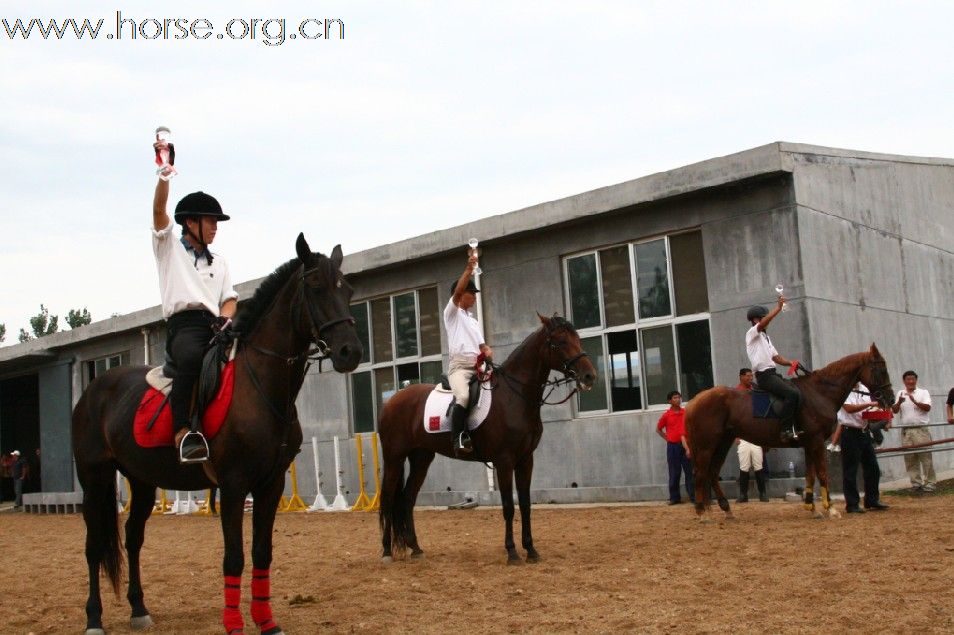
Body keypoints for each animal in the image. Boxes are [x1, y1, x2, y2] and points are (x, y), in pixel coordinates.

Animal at [71, 237, 360, 635]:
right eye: (316, 288)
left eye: (347, 290)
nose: (350, 352)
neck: (259, 384)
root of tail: (92, 391)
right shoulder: (235, 485)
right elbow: (234, 557)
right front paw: (234, 624)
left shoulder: (270, 485)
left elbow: (262, 553)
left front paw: (267, 622)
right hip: (94, 479)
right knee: (94, 545)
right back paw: (94, 618)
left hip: (142, 481)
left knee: (133, 538)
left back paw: (138, 609)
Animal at [374, 316, 592, 564]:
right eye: (561, 342)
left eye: (576, 338)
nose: (589, 376)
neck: (515, 396)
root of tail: (391, 401)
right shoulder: (504, 461)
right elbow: (508, 506)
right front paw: (512, 552)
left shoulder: (526, 460)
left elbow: (525, 505)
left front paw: (531, 550)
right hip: (395, 458)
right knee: (388, 499)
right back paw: (386, 552)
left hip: (421, 459)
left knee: (407, 499)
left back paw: (416, 548)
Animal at [684, 346, 892, 520]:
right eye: (881, 370)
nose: (889, 398)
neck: (819, 393)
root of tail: (695, 401)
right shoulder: (817, 441)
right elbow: (822, 473)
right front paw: (830, 509)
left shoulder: (808, 444)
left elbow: (810, 475)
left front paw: (812, 508)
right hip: (706, 445)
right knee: (700, 473)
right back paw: (702, 513)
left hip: (723, 442)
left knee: (712, 473)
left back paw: (725, 509)